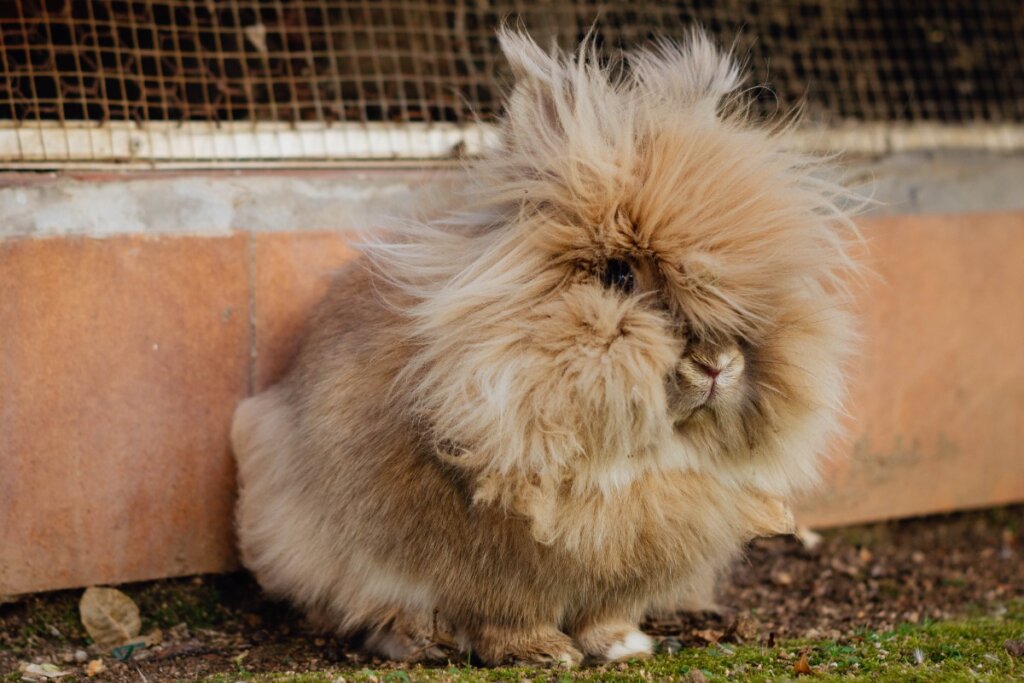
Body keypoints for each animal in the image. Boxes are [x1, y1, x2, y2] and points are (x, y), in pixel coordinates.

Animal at [231, 28, 859, 667]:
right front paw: (542, 652)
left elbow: (607, 608)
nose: (717, 364)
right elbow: (504, 607)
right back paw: (418, 639)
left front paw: (623, 645)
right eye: (618, 276)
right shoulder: (486, 558)